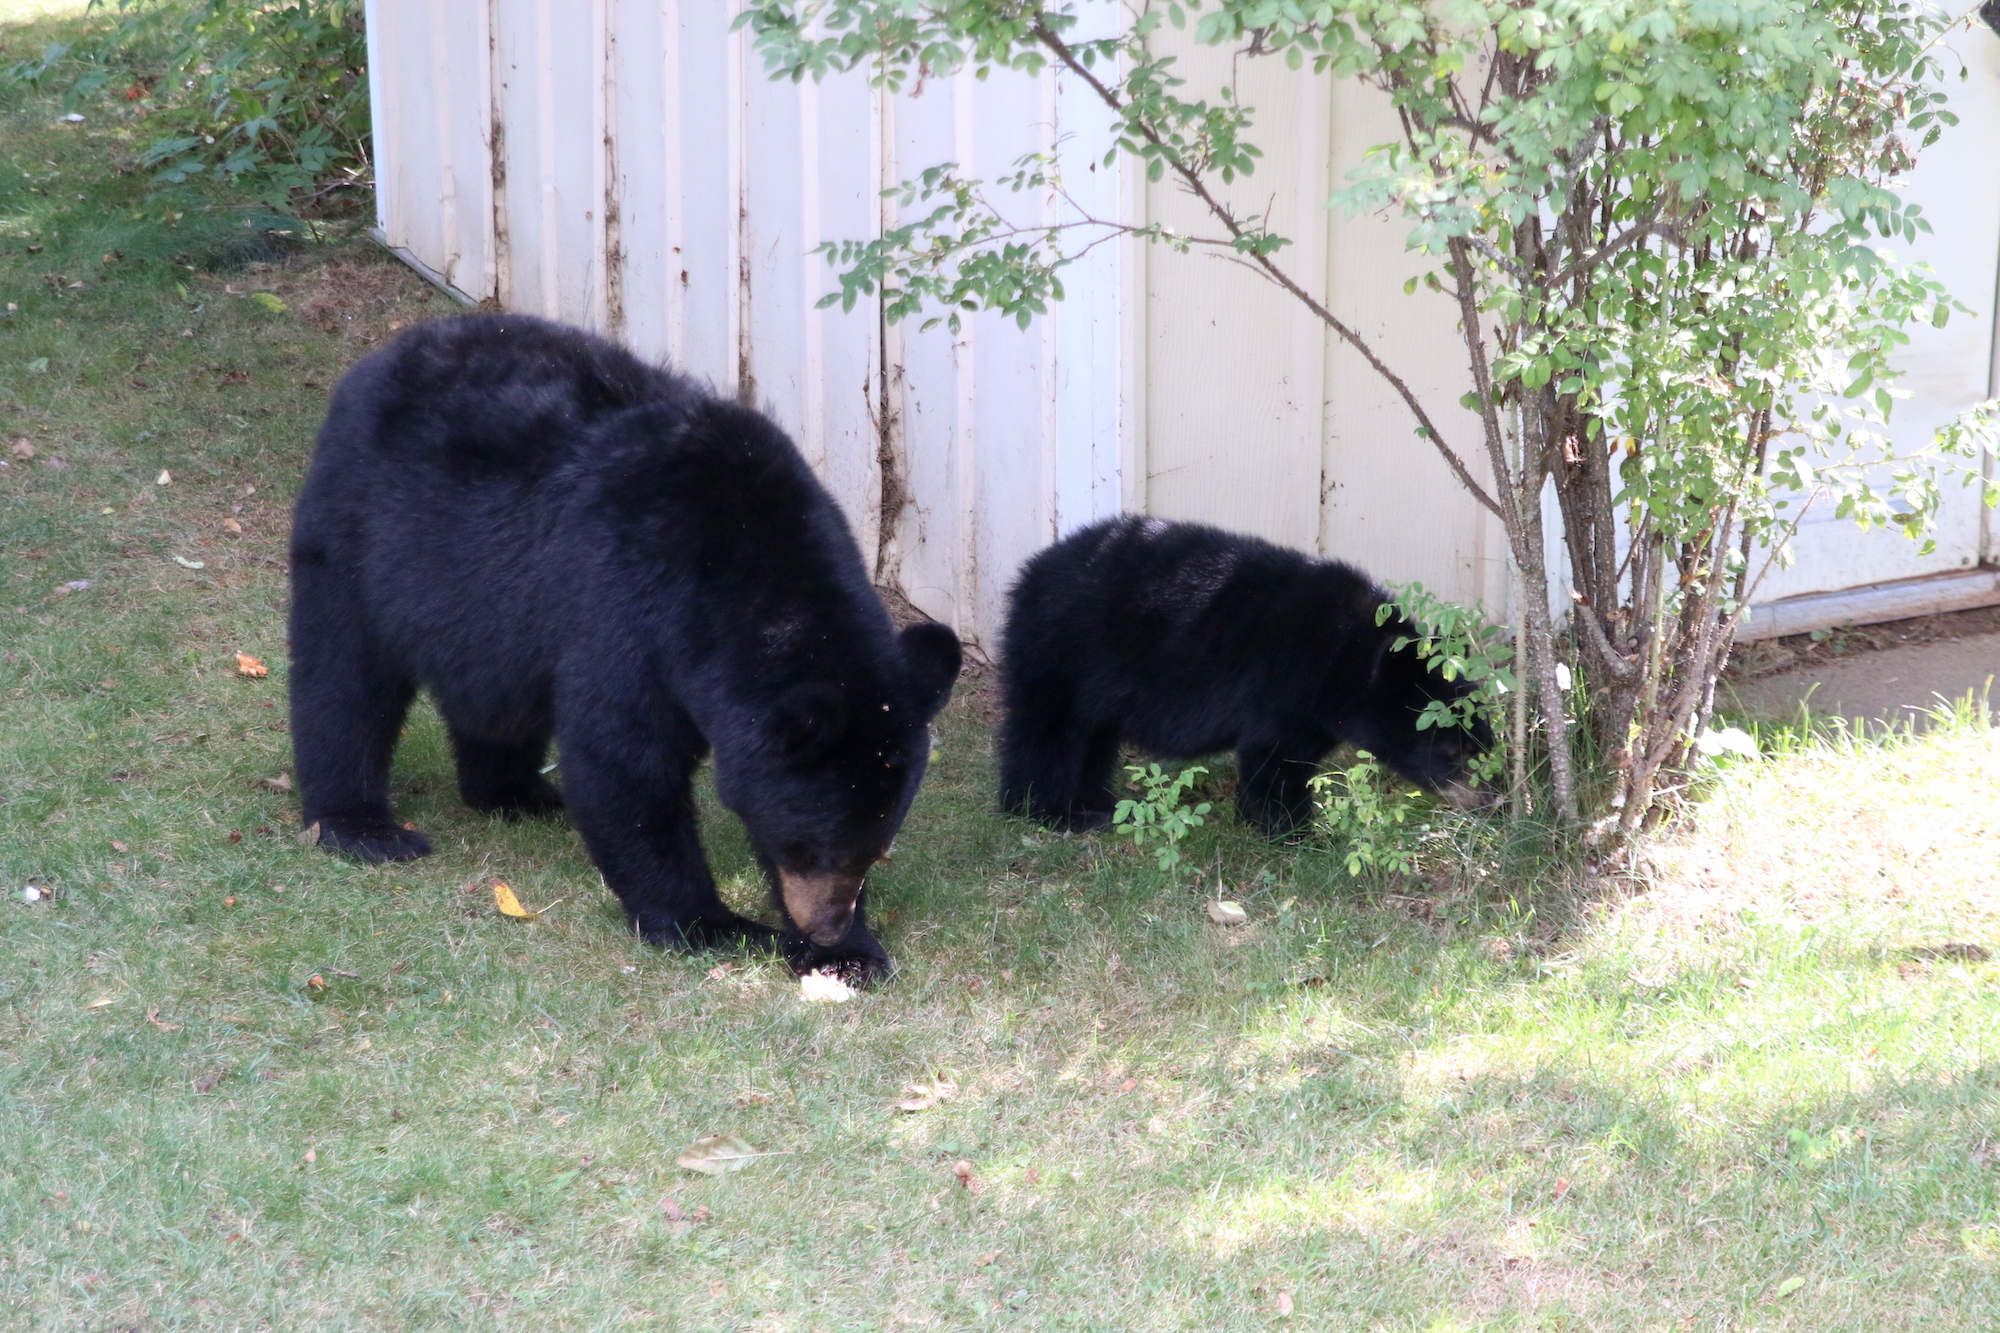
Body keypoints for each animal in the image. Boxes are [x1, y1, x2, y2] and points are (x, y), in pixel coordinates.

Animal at [288, 314, 960, 976]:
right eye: (810, 845)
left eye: (873, 850)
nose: (826, 926)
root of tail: (391, 350)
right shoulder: (629, 607)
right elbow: (627, 761)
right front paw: (711, 925)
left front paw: (851, 954)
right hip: (362, 526)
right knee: (343, 676)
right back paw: (363, 827)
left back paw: (515, 791)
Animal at [996, 516, 1488, 836]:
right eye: (1454, 751)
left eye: (1485, 743)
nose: (1492, 799)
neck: (1350, 655)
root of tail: (1027, 574)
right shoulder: (1285, 683)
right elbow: (1275, 756)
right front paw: (1295, 830)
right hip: (1062, 653)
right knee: (1048, 731)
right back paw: (1052, 812)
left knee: (1094, 737)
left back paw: (1100, 803)